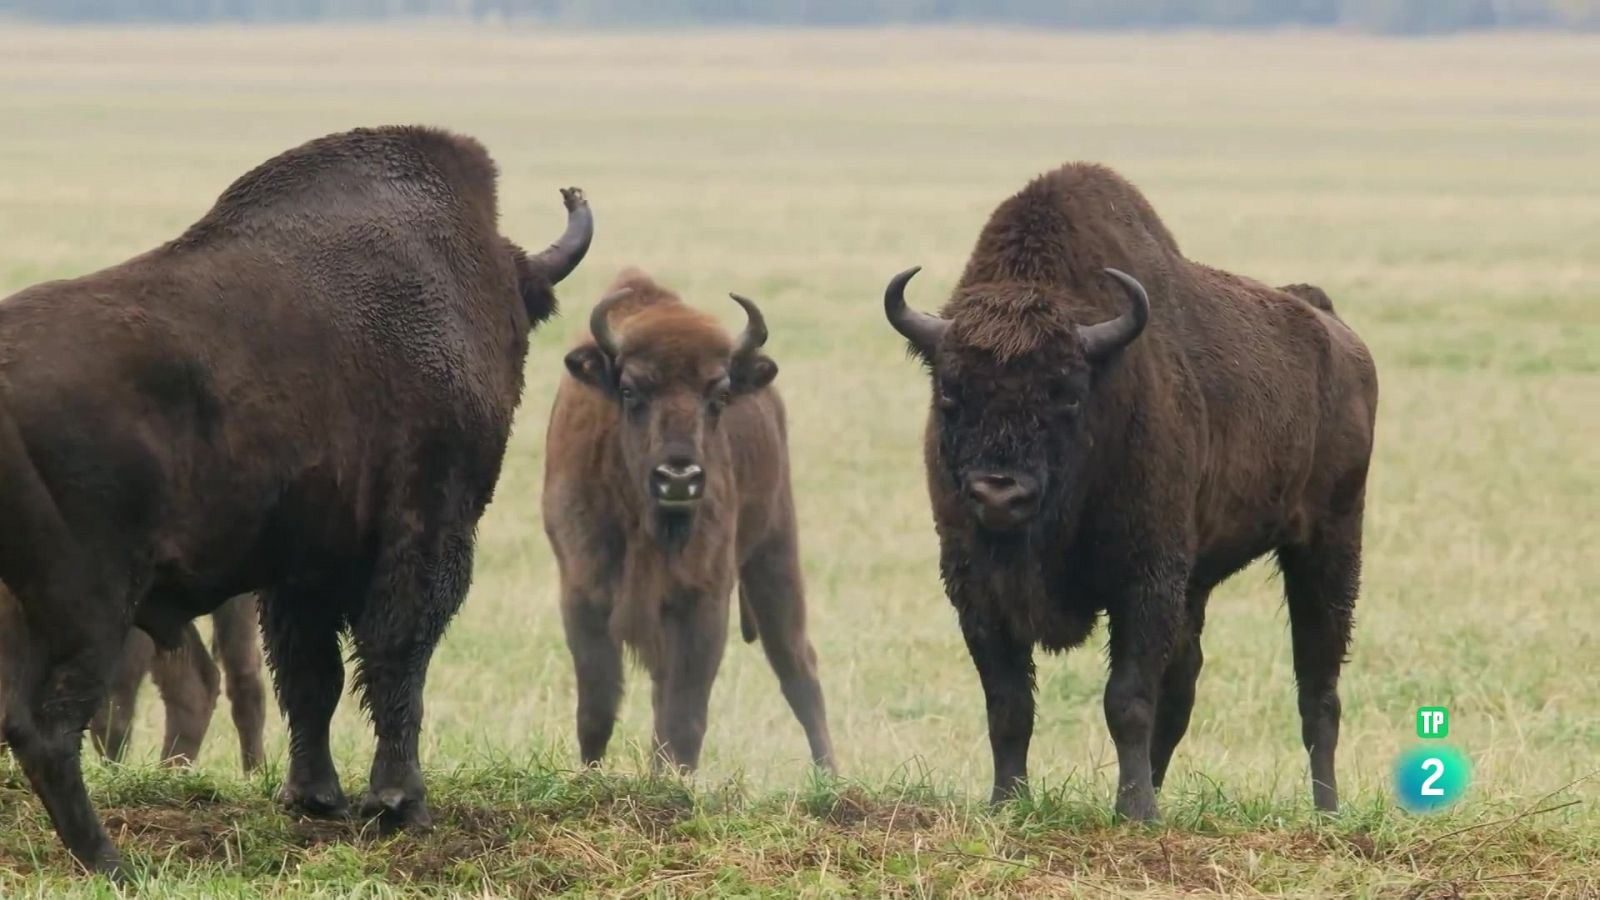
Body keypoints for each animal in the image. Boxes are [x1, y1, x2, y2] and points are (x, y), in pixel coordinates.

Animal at [876, 162, 1376, 819]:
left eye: (1066, 392)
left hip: (1328, 545)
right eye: (951, 391)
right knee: (1187, 687)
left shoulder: (1146, 579)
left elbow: (1128, 698)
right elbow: (1009, 705)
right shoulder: (975, 589)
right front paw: (1007, 803)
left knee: (1317, 688)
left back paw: (1326, 809)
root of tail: (1335, 330)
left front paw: (1134, 810)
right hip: (1204, 583)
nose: (999, 495)